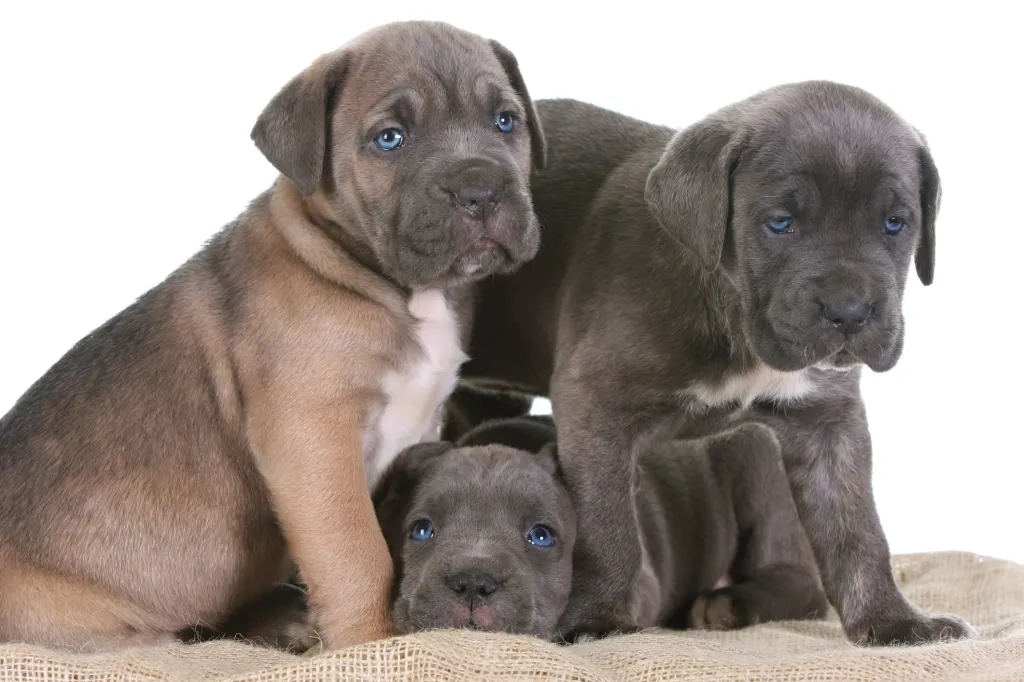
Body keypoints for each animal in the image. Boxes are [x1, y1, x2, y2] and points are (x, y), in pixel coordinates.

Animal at [372, 413, 827, 638]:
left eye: (541, 536)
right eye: (421, 530)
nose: (472, 583)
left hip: (756, 460)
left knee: (802, 585)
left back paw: (724, 605)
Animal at [458, 83, 974, 643]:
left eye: (895, 223)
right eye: (780, 224)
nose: (849, 311)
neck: (734, 315)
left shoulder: (827, 421)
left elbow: (857, 530)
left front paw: (892, 622)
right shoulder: (595, 405)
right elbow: (607, 529)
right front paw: (598, 621)